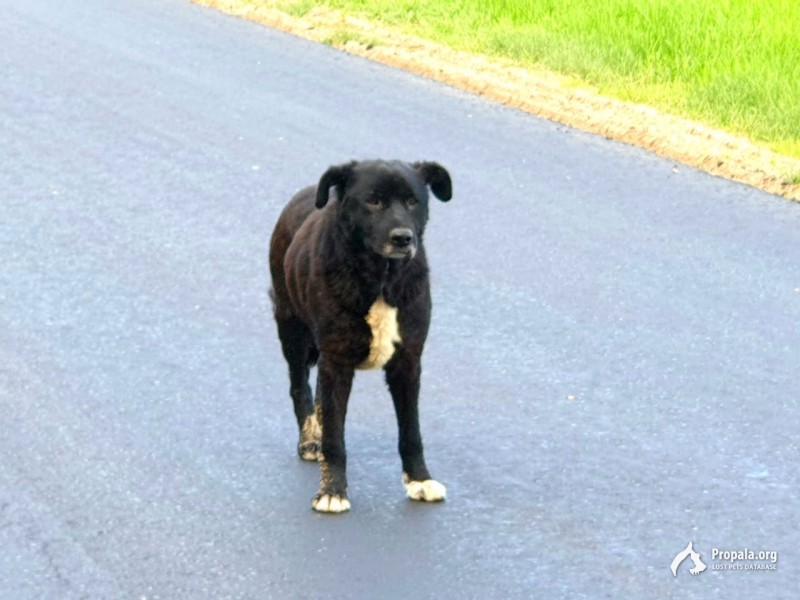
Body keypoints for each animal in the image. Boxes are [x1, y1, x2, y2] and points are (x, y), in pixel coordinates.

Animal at [268, 158, 454, 510]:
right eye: (373, 200)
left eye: (413, 201)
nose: (403, 238)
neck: (381, 278)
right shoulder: (336, 359)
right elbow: (335, 437)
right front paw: (332, 491)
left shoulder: (408, 361)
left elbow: (411, 431)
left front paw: (420, 479)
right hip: (292, 330)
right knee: (299, 388)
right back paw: (310, 440)